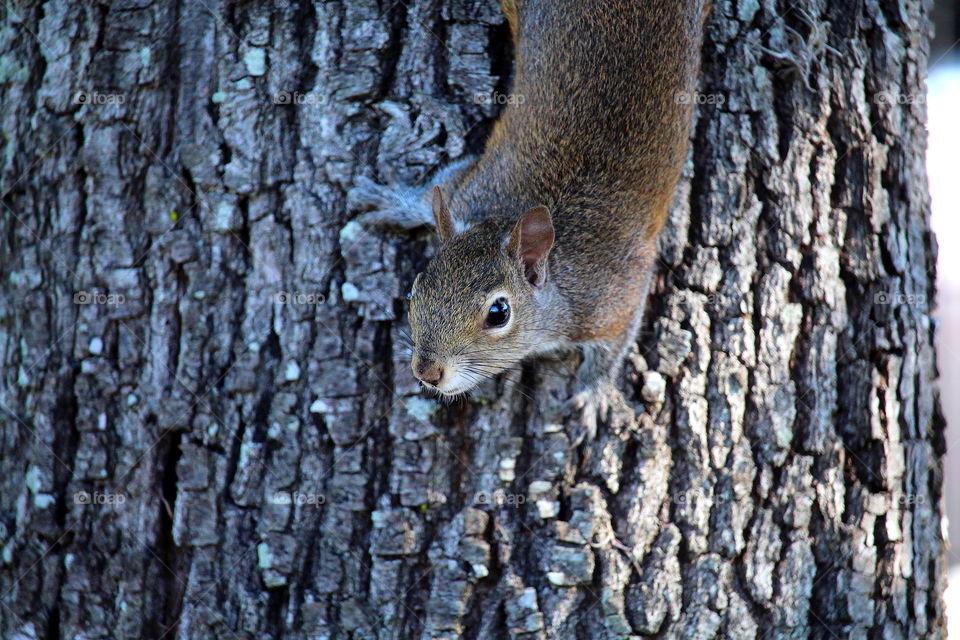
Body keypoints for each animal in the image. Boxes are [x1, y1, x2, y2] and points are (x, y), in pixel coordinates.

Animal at [350, 0, 704, 436]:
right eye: (415, 290)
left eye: (498, 313)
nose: (427, 373)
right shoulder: (471, 190)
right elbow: (437, 187)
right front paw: (388, 200)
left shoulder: (615, 294)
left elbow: (615, 343)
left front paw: (594, 393)